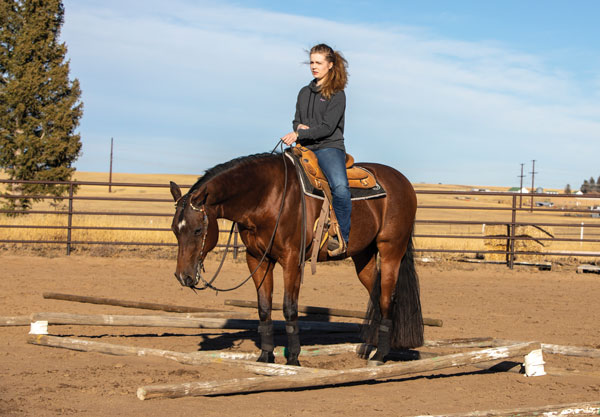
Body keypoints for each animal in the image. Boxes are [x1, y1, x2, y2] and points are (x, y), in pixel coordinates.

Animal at [169, 151, 422, 366]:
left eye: (197, 230)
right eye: (174, 230)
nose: (183, 277)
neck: (267, 197)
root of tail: (402, 181)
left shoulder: (291, 259)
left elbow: (289, 308)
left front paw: (293, 359)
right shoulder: (257, 259)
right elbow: (264, 308)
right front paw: (265, 356)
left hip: (391, 250)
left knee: (388, 299)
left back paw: (379, 356)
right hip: (364, 256)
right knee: (377, 296)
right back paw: (370, 347)